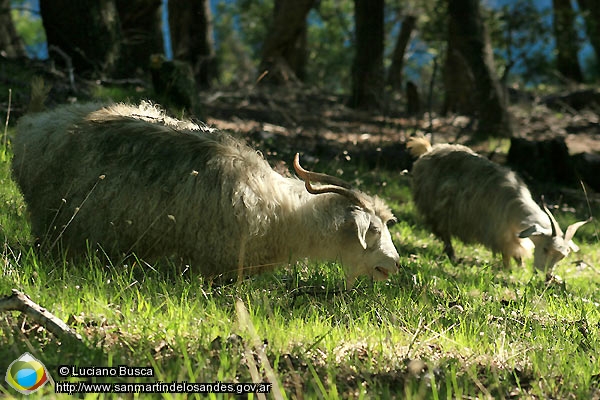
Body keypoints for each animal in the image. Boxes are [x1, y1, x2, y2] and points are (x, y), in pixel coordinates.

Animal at [10, 101, 398, 286]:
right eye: (374, 230)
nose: (396, 264)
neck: (283, 214)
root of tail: (32, 127)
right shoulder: (213, 261)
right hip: (57, 223)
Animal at [406, 137, 588, 272]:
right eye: (545, 249)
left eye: (562, 256)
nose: (545, 274)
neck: (514, 206)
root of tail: (429, 150)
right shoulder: (499, 232)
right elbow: (508, 253)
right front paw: (509, 269)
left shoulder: (510, 233)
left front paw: (520, 268)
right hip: (436, 209)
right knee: (444, 234)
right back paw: (453, 257)